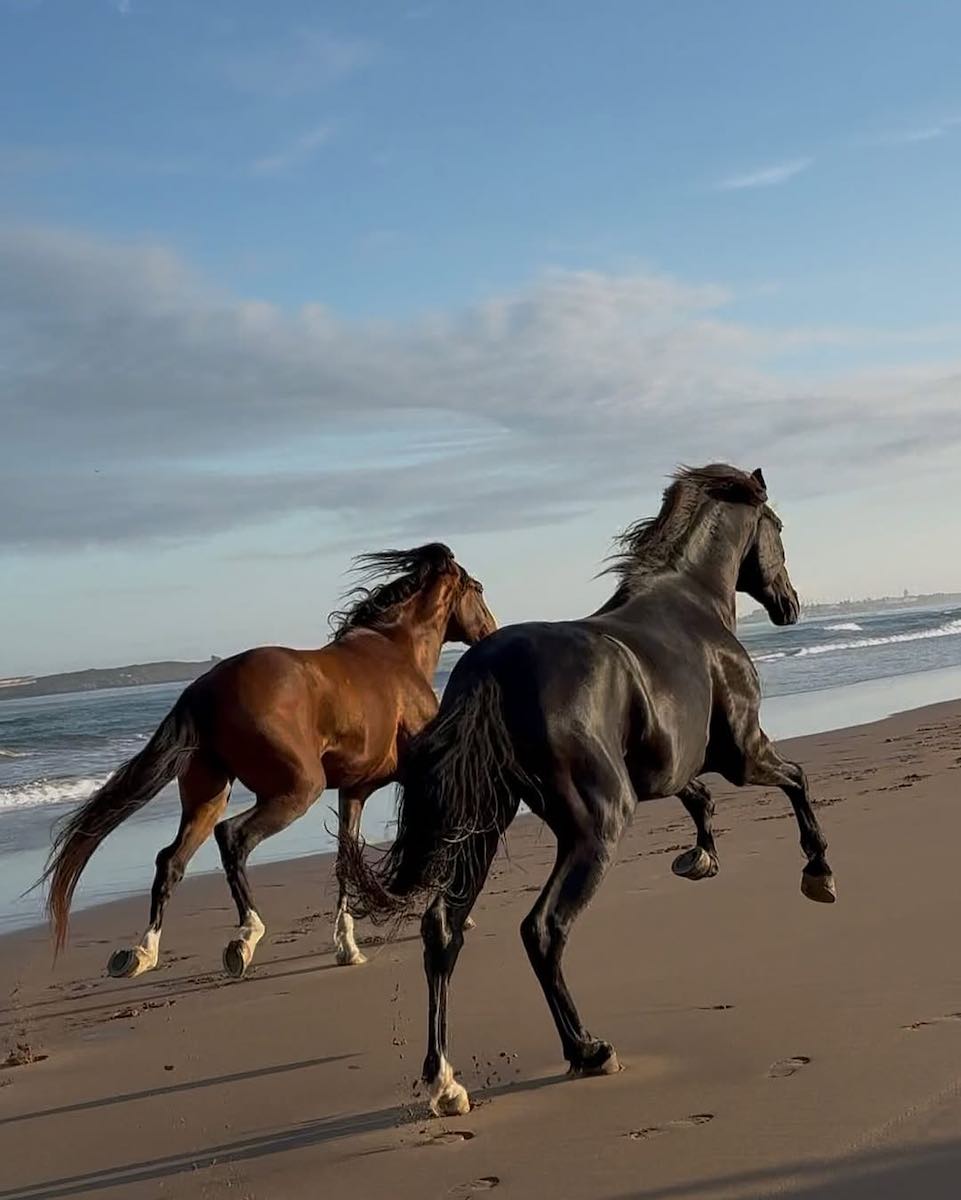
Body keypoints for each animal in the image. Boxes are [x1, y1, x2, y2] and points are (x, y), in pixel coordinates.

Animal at [42, 543, 497, 980]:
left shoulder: (354, 790)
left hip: (207, 797)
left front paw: (347, 947)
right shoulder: (415, 775)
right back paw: (244, 938)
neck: (396, 650)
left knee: (171, 861)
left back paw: (141, 954)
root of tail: (202, 691)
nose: (490, 634)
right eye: (478, 588)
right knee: (232, 838)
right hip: (297, 790)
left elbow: (344, 860)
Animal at [340, 465, 836, 1117]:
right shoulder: (745, 753)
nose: (791, 604)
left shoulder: (665, 770)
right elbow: (796, 780)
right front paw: (818, 872)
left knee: (442, 930)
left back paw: (445, 1081)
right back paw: (588, 1049)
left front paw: (699, 858)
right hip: (596, 827)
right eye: (778, 526)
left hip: (482, 827)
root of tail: (488, 672)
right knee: (543, 930)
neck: (691, 604)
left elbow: (698, 798)